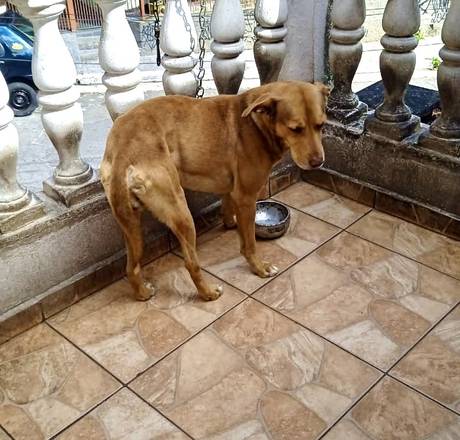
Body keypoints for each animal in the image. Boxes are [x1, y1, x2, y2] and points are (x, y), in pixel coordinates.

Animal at [101, 81, 330, 301]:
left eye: (321, 125)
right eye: (295, 129)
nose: (318, 162)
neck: (256, 123)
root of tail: (122, 152)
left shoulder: (230, 190)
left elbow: (229, 211)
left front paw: (231, 224)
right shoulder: (246, 197)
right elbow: (249, 243)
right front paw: (258, 267)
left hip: (130, 224)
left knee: (131, 267)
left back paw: (142, 293)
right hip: (181, 213)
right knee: (190, 263)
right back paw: (207, 293)